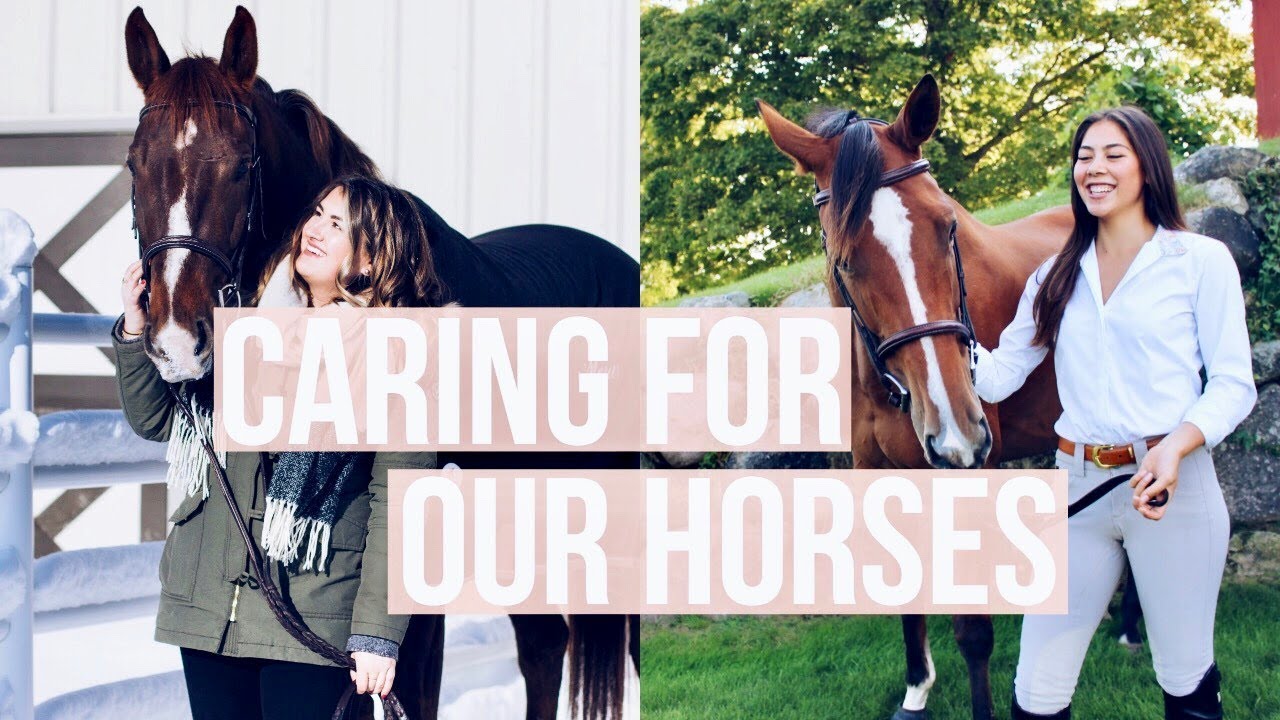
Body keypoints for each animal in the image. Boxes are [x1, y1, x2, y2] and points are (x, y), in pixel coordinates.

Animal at [759, 74, 1071, 720]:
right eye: (843, 259)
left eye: (949, 227)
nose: (955, 431)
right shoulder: (879, 472)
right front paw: (916, 690)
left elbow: (973, 630)